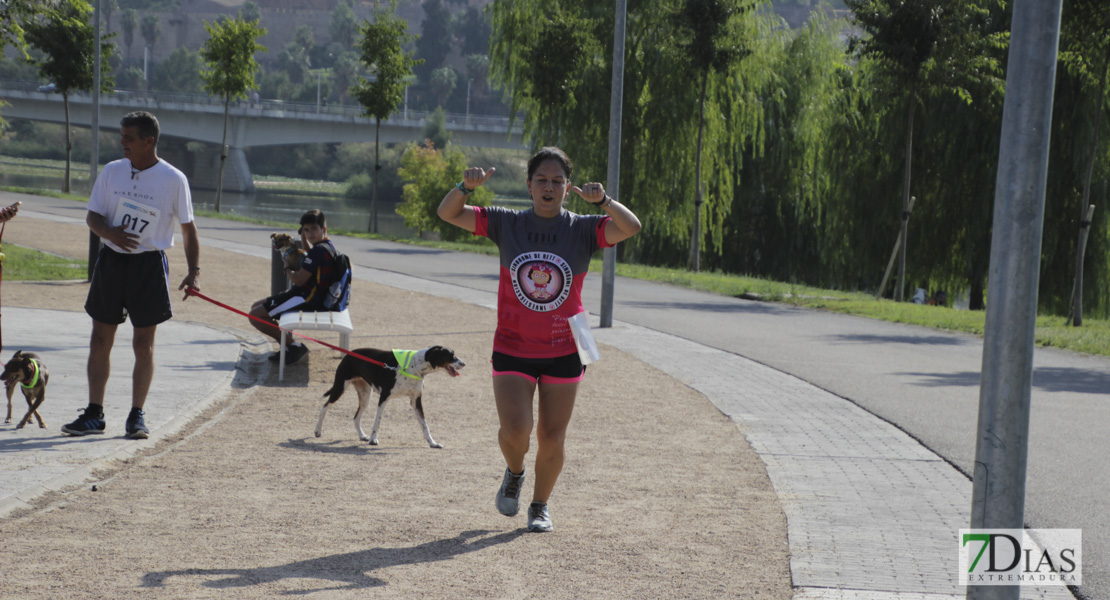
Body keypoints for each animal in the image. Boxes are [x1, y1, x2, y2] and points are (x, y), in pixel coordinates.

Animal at [317, 343, 463, 445]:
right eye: (451, 355)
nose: (464, 363)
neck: (413, 367)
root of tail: (348, 354)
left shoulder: (415, 401)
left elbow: (424, 425)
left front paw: (432, 443)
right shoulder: (384, 398)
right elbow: (377, 421)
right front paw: (373, 440)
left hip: (365, 396)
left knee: (356, 417)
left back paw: (362, 436)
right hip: (340, 388)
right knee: (325, 406)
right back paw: (317, 431)